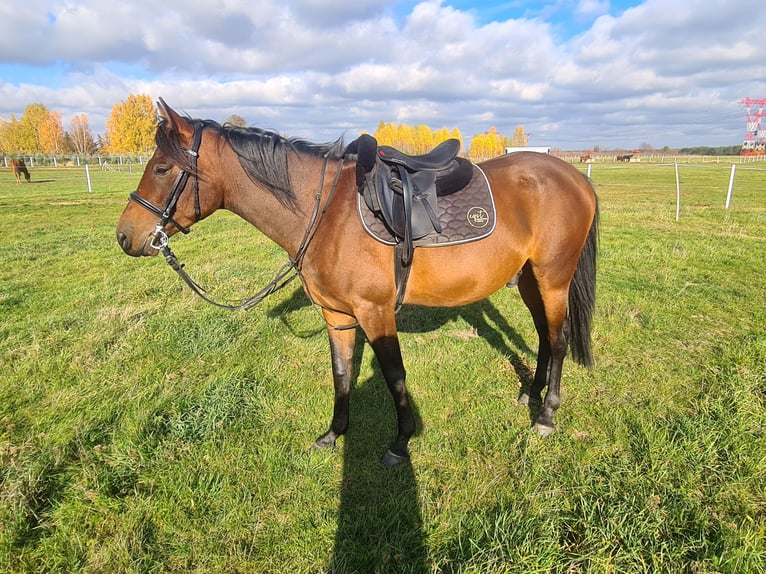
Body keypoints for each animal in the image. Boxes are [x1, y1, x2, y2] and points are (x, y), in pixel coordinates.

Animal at [116, 99, 599, 466]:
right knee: (543, 335)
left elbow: (395, 376)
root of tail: (575, 177)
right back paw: (530, 394)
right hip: (529, 279)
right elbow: (342, 373)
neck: (327, 213)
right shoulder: (337, 315)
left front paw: (401, 443)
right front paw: (334, 434)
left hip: (553, 279)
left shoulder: (375, 312)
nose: (125, 236)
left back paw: (546, 416)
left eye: (162, 169)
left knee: (558, 340)